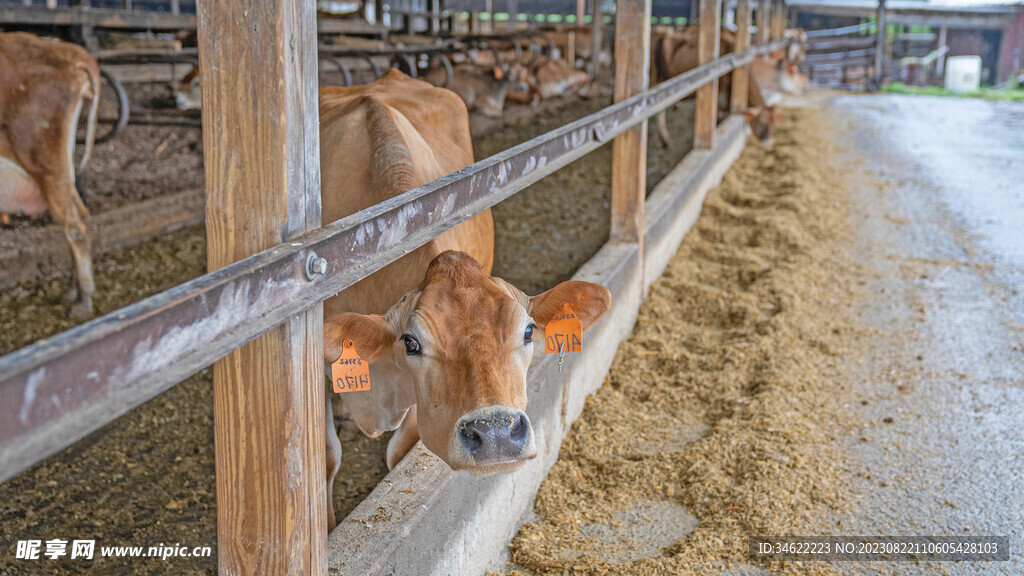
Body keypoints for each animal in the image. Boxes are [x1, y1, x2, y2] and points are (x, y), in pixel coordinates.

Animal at [0, 33, 100, 315]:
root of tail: (65, 50)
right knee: (79, 217)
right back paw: (73, 291)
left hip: (45, 162)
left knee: (75, 224)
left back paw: (83, 301)